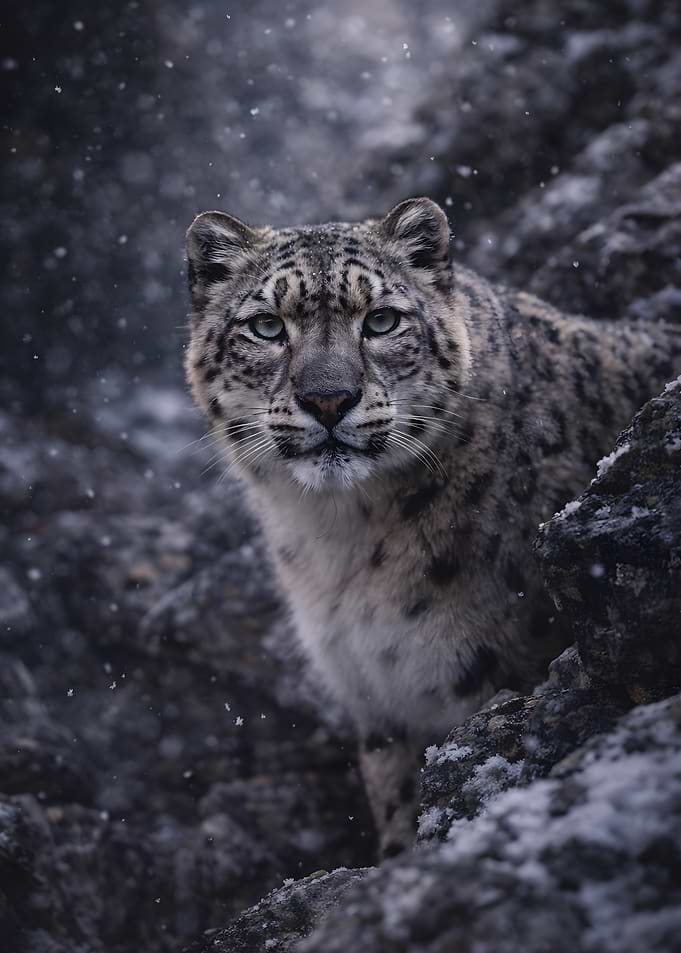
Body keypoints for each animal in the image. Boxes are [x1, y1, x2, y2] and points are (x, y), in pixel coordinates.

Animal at [184, 196, 681, 858]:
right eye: (266, 327)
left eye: (381, 320)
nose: (328, 398)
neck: (340, 541)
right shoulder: (379, 700)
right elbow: (397, 801)